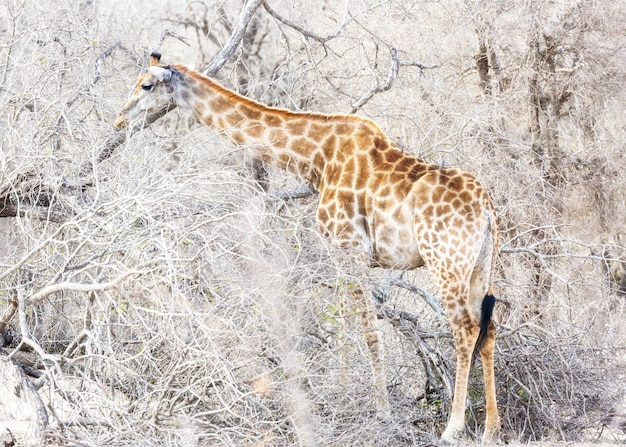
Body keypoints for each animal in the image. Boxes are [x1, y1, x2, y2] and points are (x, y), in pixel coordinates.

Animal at [114, 52, 500, 444]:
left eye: (146, 85)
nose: (119, 120)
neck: (317, 157)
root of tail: (486, 210)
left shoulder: (350, 247)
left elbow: (369, 330)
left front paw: (382, 410)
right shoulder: (341, 251)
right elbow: (344, 320)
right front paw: (343, 395)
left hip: (445, 262)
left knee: (465, 329)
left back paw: (453, 427)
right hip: (480, 266)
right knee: (490, 328)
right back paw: (490, 430)